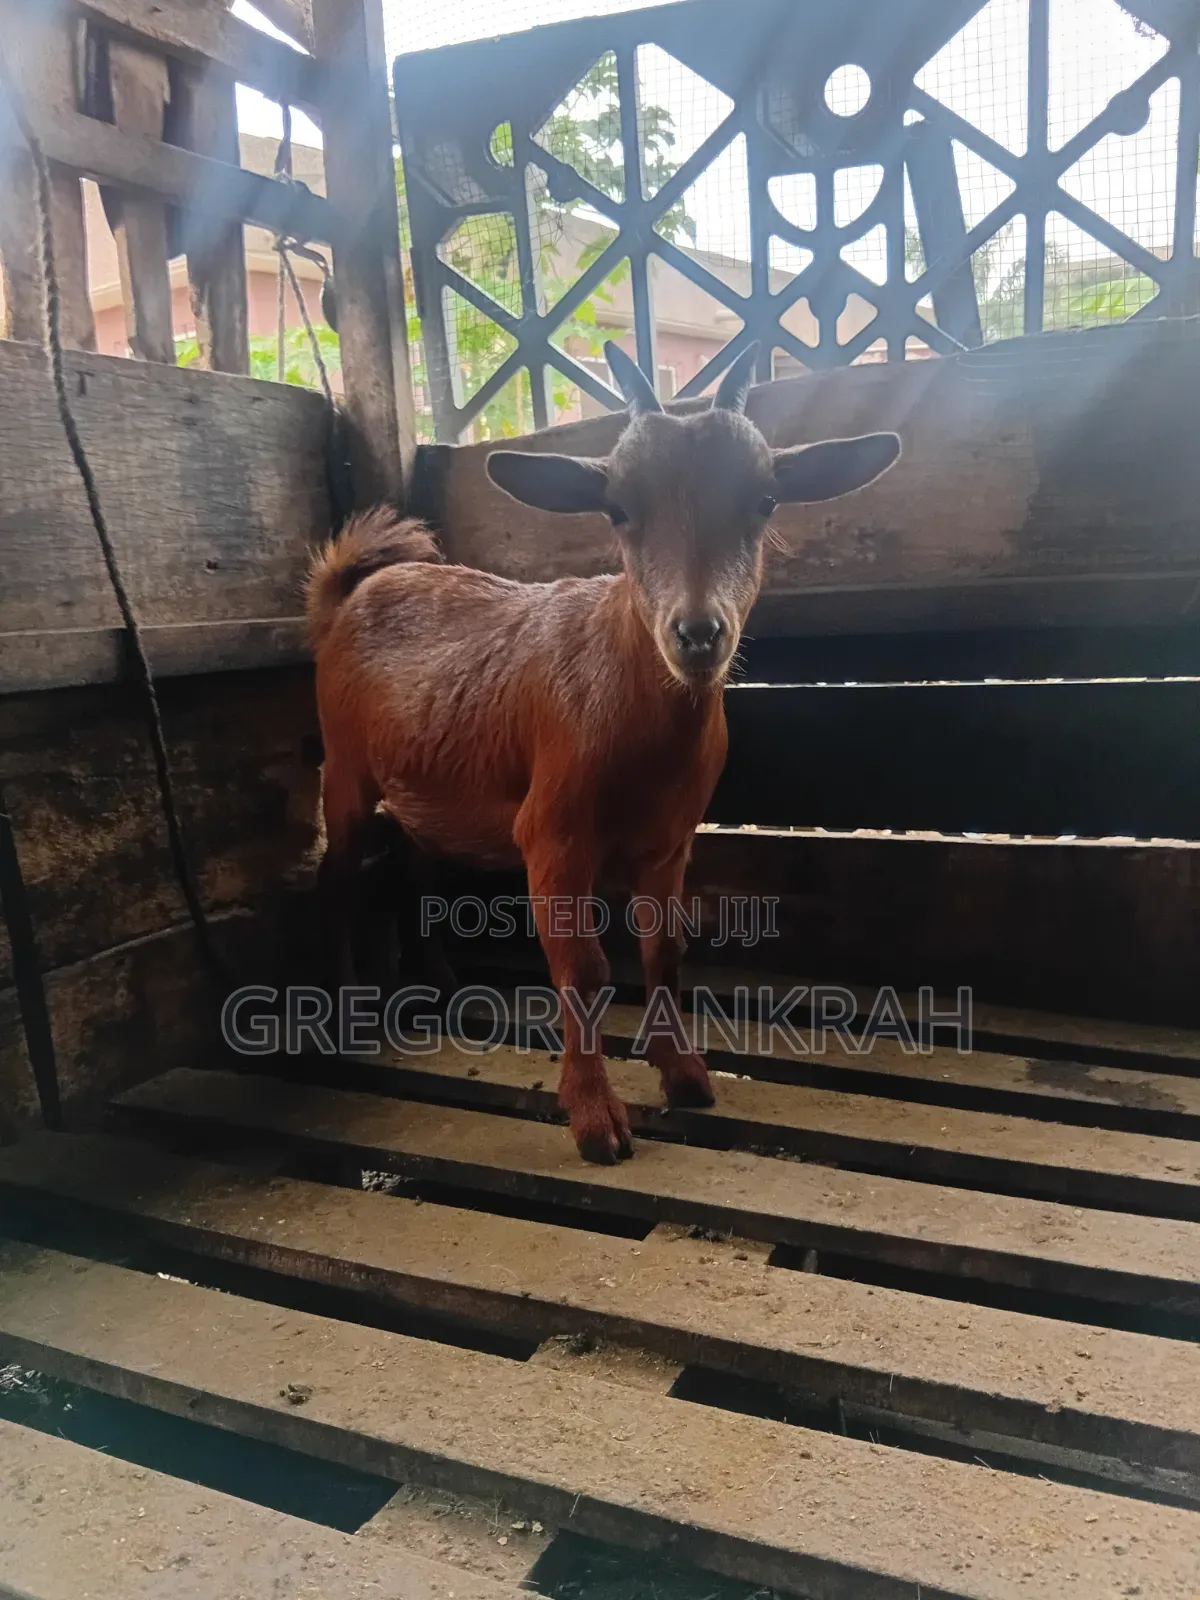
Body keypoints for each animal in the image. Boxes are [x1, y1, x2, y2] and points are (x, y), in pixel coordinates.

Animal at [306, 341, 900, 1163]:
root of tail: (347, 593)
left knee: (415, 858)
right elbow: (583, 968)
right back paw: (341, 1013)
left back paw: (444, 981)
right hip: (344, 766)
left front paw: (685, 1074)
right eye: (618, 510)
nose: (697, 633)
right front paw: (594, 1117)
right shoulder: (552, 833)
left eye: (765, 502)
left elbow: (665, 952)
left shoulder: (670, 841)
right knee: (334, 876)